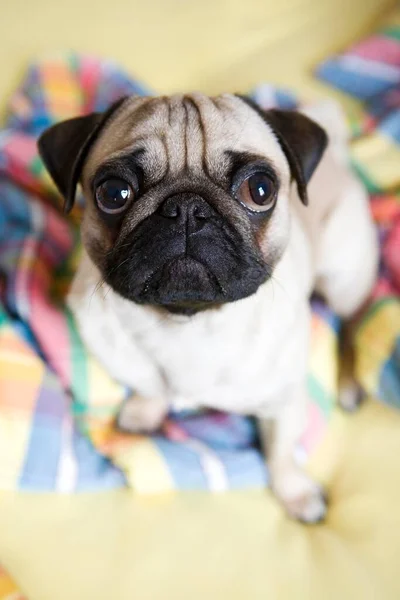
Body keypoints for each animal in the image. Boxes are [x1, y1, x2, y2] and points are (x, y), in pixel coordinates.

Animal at [37, 92, 378, 520]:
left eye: (260, 189)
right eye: (113, 193)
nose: (186, 208)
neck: (188, 323)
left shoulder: (283, 401)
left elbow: (282, 452)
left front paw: (296, 493)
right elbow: (148, 382)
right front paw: (145, 411)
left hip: (343, 277)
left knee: (350, 323)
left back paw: (348, 384)